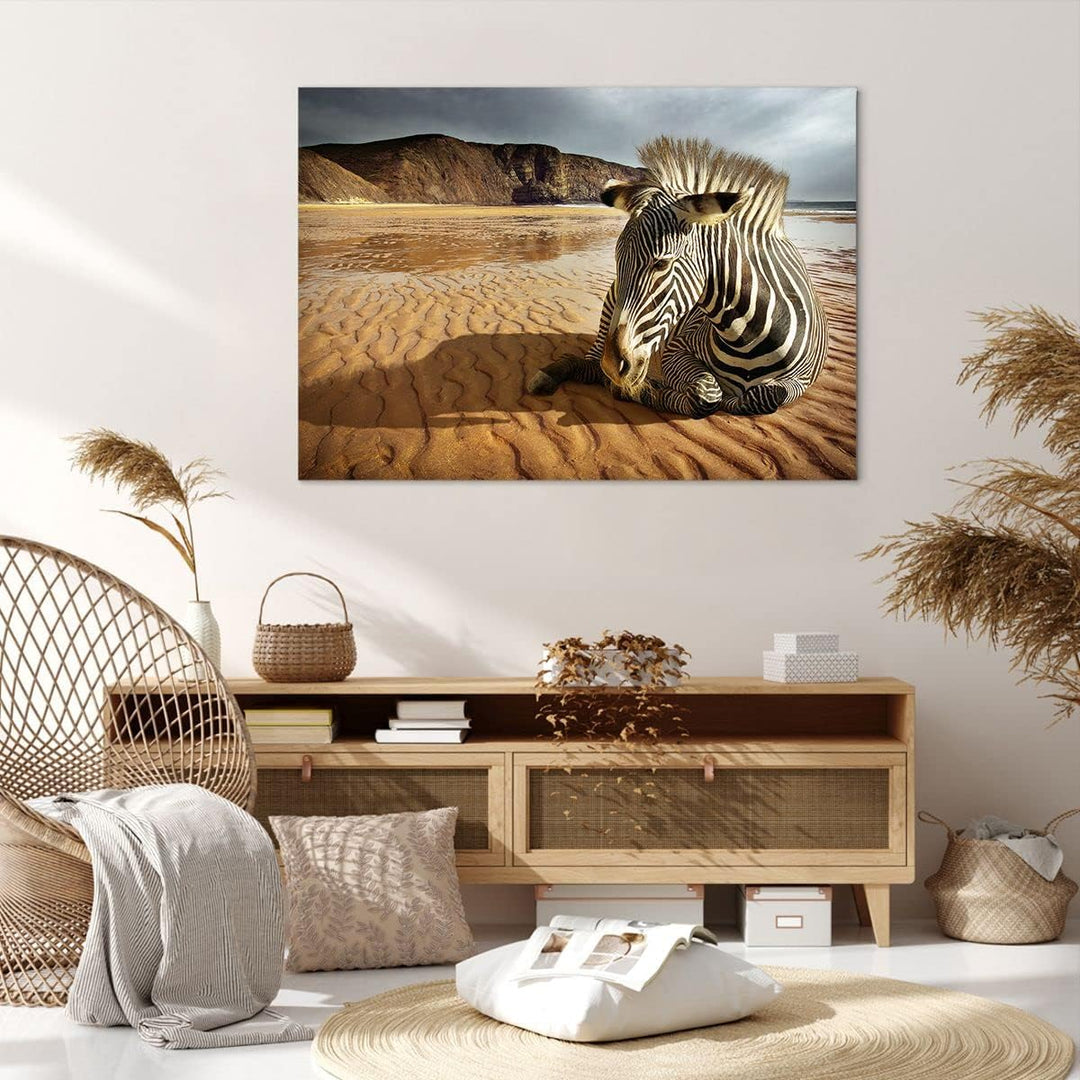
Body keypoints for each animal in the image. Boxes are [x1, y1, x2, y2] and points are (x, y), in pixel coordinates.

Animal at [526, 137, 829, 417]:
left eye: (661, 264)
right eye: (617, 261)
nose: (613, 366)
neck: (748, 336)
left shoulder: (801, 380)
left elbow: (765, 396)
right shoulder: (676, 349)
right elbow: (707, 395)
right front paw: (643, 391)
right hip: (610, 309)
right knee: (590, 364)